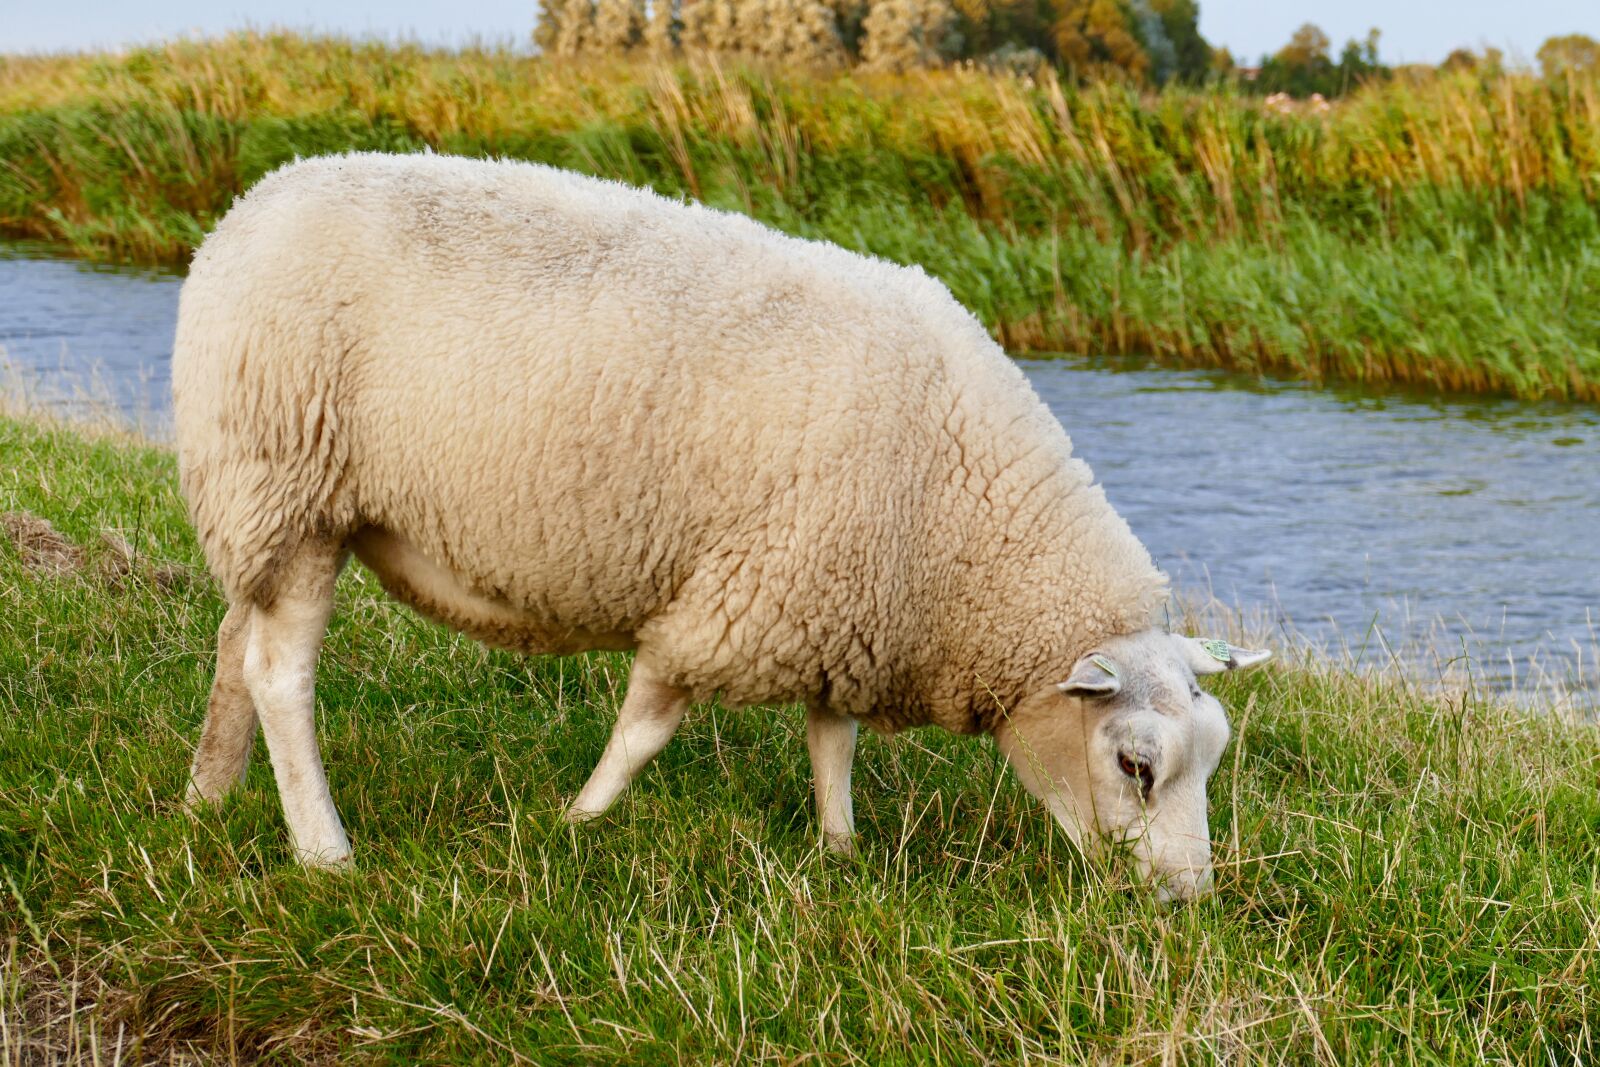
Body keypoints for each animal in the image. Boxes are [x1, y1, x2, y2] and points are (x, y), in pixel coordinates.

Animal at [173, 152, 1270, 901]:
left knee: (236, 641)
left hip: (265, 507)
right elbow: (645, 725)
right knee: (281, 674)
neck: (965, 523)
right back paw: (324, 848)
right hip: (291, 482)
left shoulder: (838, 603)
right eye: (1135, 765)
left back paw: (208, 796)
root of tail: (246, 208)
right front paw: (577, 819)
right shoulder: (737, 598)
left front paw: (840, 846)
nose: (1184, 900)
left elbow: (833, 742)